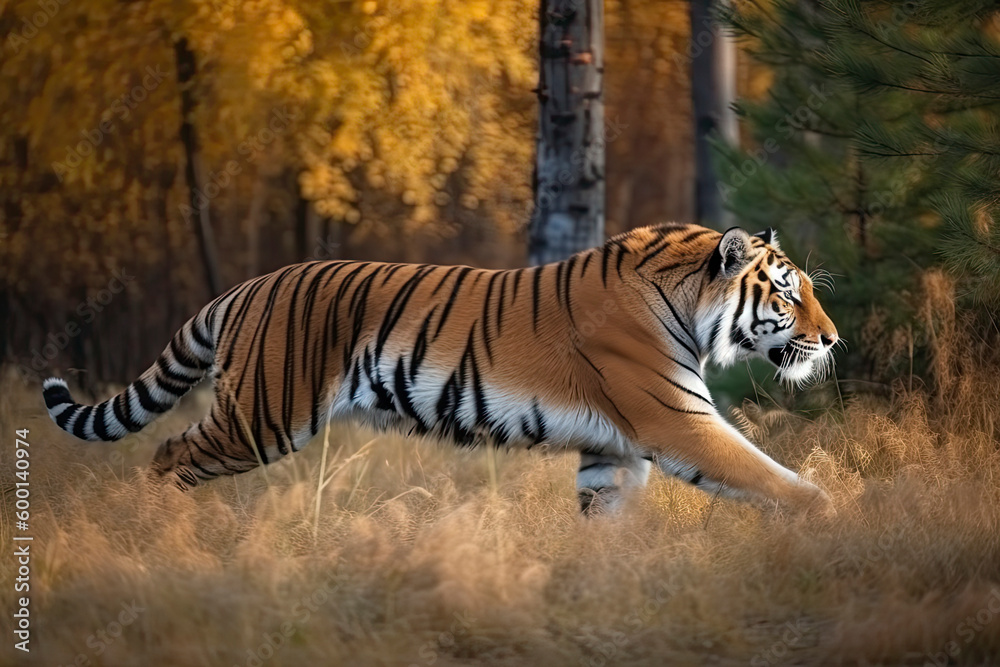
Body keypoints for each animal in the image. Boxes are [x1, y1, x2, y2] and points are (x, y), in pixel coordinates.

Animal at [42, 223, 838, 516]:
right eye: (787, 292)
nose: (832, 340)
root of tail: (245, 286)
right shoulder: (678, 421)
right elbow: (768, 474)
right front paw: (833, 516)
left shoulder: (610, 450)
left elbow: (605, 519)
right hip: (262, 417)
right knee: (167, 454)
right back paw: (158, 532)